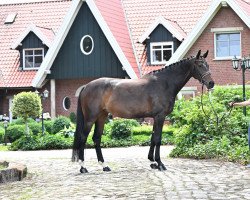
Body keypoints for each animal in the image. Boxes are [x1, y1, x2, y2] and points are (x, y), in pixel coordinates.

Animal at [71, 49, 214, 173]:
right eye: (200, 65)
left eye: (207, 64)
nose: (211, 83)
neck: (164, 83)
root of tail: (86, 86)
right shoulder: (160, 116)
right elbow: (158, 139)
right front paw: (160, 163)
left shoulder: (155, 118)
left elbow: (153, 138)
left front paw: (152, 162)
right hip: (90, 118)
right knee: (83, 138)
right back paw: (83, 167)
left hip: (101, 116)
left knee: (96, 138)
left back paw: (104, 165)